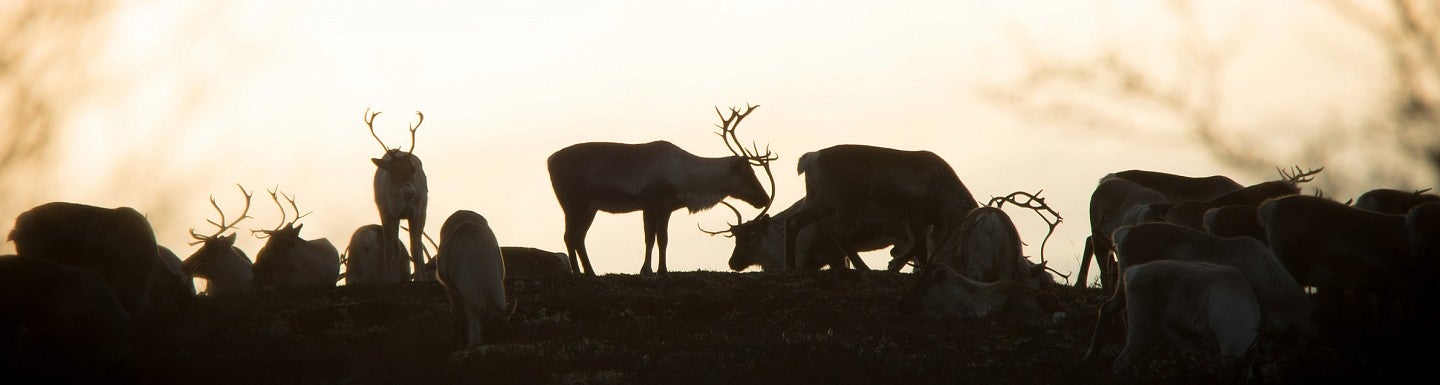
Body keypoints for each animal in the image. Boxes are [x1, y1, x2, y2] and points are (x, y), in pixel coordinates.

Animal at [434, 211, 509, 350]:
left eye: (507, 335)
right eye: (489, 334)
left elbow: (473, 316)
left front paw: (474, 341)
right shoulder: (454, 286)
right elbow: (462, 319)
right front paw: (463, 344)